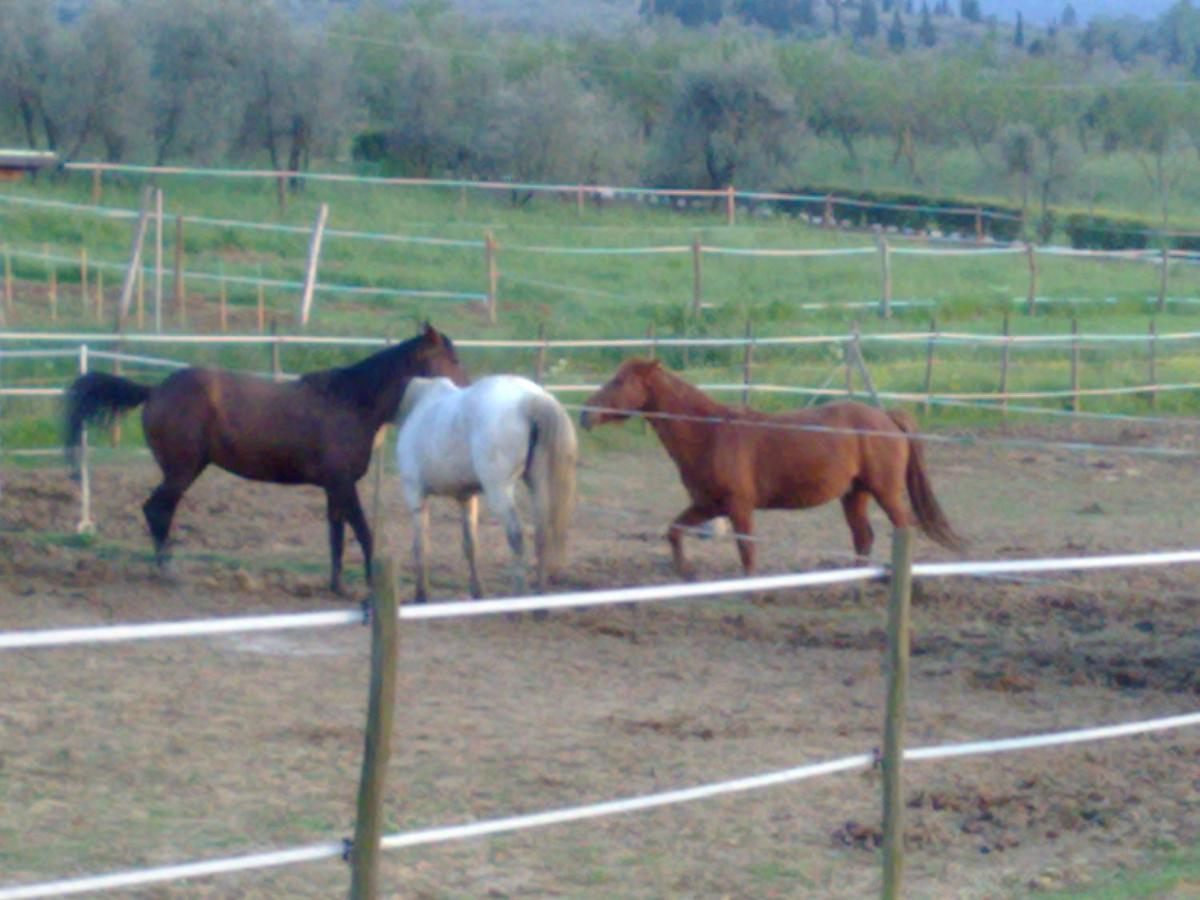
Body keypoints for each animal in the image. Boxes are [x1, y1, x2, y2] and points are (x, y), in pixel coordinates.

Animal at [63, 321, 468, 592]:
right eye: (450, 358)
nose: (467, 392)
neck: (350, 403)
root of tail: (154, 391)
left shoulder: (334, 488)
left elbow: (336, 536)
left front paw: (336, 585)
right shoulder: (343, 484)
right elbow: (363, 532)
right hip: (182, 471)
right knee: (156, 509)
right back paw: (168, 571)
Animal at [396, 376, 578, 602]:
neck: (420, 401)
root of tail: (531, 399)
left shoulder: (415, 493)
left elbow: (420, 546)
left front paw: (421, 595)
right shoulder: (466, 497)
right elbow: (470, 545)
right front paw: (477, 593)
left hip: (499, 492)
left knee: (517, 538)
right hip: (538, 485)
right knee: (541, 536)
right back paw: (540, 602)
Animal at [580, 360, 964, 578]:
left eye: (619, 381)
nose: (585, 413)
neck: (710, 433)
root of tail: (886, 417)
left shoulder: (739, 506)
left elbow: (747, 552)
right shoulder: (707, 504)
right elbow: (674, 531)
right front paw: (685, 573)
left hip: (885, 491)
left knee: (901, 528)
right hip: (854, 494)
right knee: (862, 537)